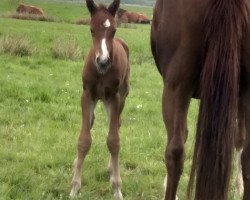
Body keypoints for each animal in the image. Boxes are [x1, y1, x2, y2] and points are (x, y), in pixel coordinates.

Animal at [70, 0, 130, 199]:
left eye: (114, 30)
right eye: (91, 30)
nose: (103, 61)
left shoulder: (114, 97)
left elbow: (113, 141)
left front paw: (117, 187)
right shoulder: (87, 94)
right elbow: (84, 139)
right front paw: (74, 186)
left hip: (120, 97)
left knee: (116, 124)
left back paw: (112, 169)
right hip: (98, 99)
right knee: (91, 122)